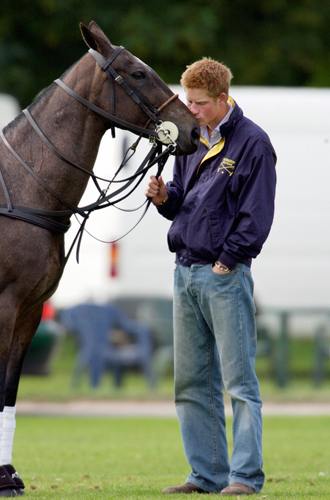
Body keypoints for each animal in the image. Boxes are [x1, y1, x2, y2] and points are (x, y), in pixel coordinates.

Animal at [0, 20, 200, 496]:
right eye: (138, 72)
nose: (192, 131)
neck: (22, 188)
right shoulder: (4, 304)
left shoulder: (28, 310)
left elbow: (10, 389)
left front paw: (8, 475)